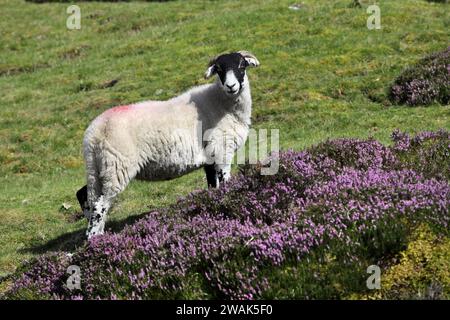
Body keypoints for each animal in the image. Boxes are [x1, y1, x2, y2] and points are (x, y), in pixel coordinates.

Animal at [76, 51, 260, 239]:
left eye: (241, 65)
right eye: (219, 69)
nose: (231, 86)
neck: (221, 102)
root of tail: (93, 133)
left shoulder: (209, 158)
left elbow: (212, 186)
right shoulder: (221, 151)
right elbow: (225, 183)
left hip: (100, 168)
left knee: (85, 195)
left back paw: (97, 234)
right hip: (116, 167)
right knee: (100, 204)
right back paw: (94, 238)